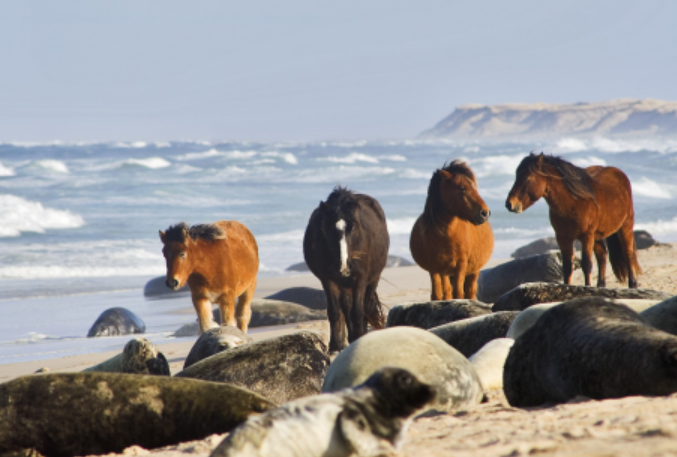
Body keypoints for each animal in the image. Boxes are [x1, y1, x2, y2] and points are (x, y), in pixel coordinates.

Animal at [304, 185, 388, 352]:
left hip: (372, 280)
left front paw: (358, 338)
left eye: (353, 227)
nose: (344, 267)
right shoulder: (328, 280)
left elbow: (357, 312)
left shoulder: (360, 280)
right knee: (346, 308)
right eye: (328, 229)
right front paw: (335, 345)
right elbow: (335, 311)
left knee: (364, 306)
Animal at [410, 159, 494, 302]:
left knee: (470, 291)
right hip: (445, 273)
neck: (446, 236)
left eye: (474, 187)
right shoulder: (435, 268)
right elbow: (437, 295)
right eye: (462, 188)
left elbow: (459, 294)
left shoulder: (460, 266)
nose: (485, 213)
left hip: (473, 271)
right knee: (447, 292)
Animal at [504, 153, 640, 288]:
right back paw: (601, 285)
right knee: (602, 256)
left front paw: (587, 287)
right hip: (598, 235)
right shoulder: (563, 238)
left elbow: (587, 264)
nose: (509, 204)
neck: (574, 203)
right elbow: (567, 267)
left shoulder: (586, 237)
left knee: (628, 254)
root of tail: (619, 173)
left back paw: (633, 284)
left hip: (625, 226)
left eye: (527, 178)